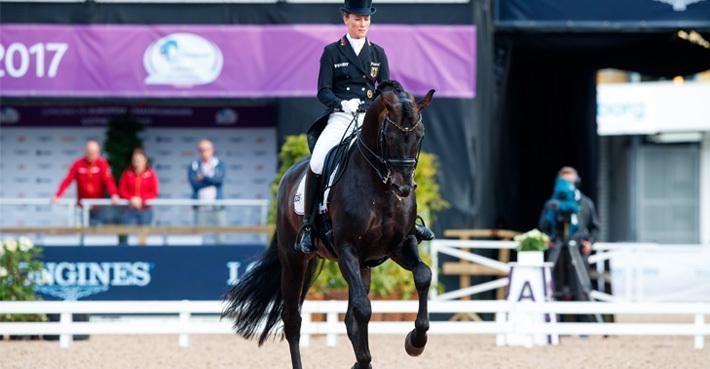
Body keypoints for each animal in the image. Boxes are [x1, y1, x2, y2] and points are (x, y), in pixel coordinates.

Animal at [224, 81, 434, 368]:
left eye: (420, 136)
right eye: (389, 136)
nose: (403, 188)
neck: (379, 187)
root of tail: (290, 174)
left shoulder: (400, 244)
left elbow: (423, 276)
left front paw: (416, 342)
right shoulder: (346, 250)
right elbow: (363, 308)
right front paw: (378, 354)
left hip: (363, 266)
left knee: (348, 318)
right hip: (294, 261)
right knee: (293, 321)